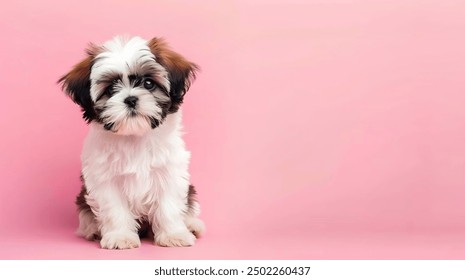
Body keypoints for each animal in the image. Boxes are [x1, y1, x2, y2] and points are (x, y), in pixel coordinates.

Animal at [58, 35, 203, 249]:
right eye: (111, 88)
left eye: (149, 83)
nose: (131, 99)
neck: (134, 135)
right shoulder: (104, 178)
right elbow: (114, 208)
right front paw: (120, 236)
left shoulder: (169, 171)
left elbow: (168, 205)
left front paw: (173, 235)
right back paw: (92, 230)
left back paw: (192, 225)